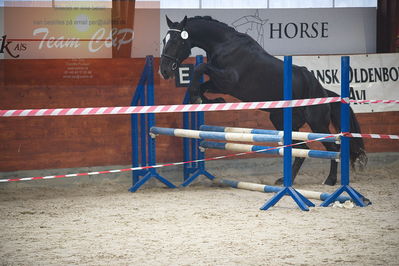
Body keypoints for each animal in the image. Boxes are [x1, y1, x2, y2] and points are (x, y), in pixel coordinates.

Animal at [160, 14, 368, 185]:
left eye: (176, 41)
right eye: (164, 40)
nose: (164, 71)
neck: (225, 44)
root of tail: (324, 91)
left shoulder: (229, 79)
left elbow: (200, 68)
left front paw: (198, 97)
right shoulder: (221, 84)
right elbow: (203, 84)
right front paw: (208, 100)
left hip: (317, 124)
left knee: (333, 148)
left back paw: (330, 181)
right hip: (282, 120)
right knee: (302, 151)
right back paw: (286, 180)